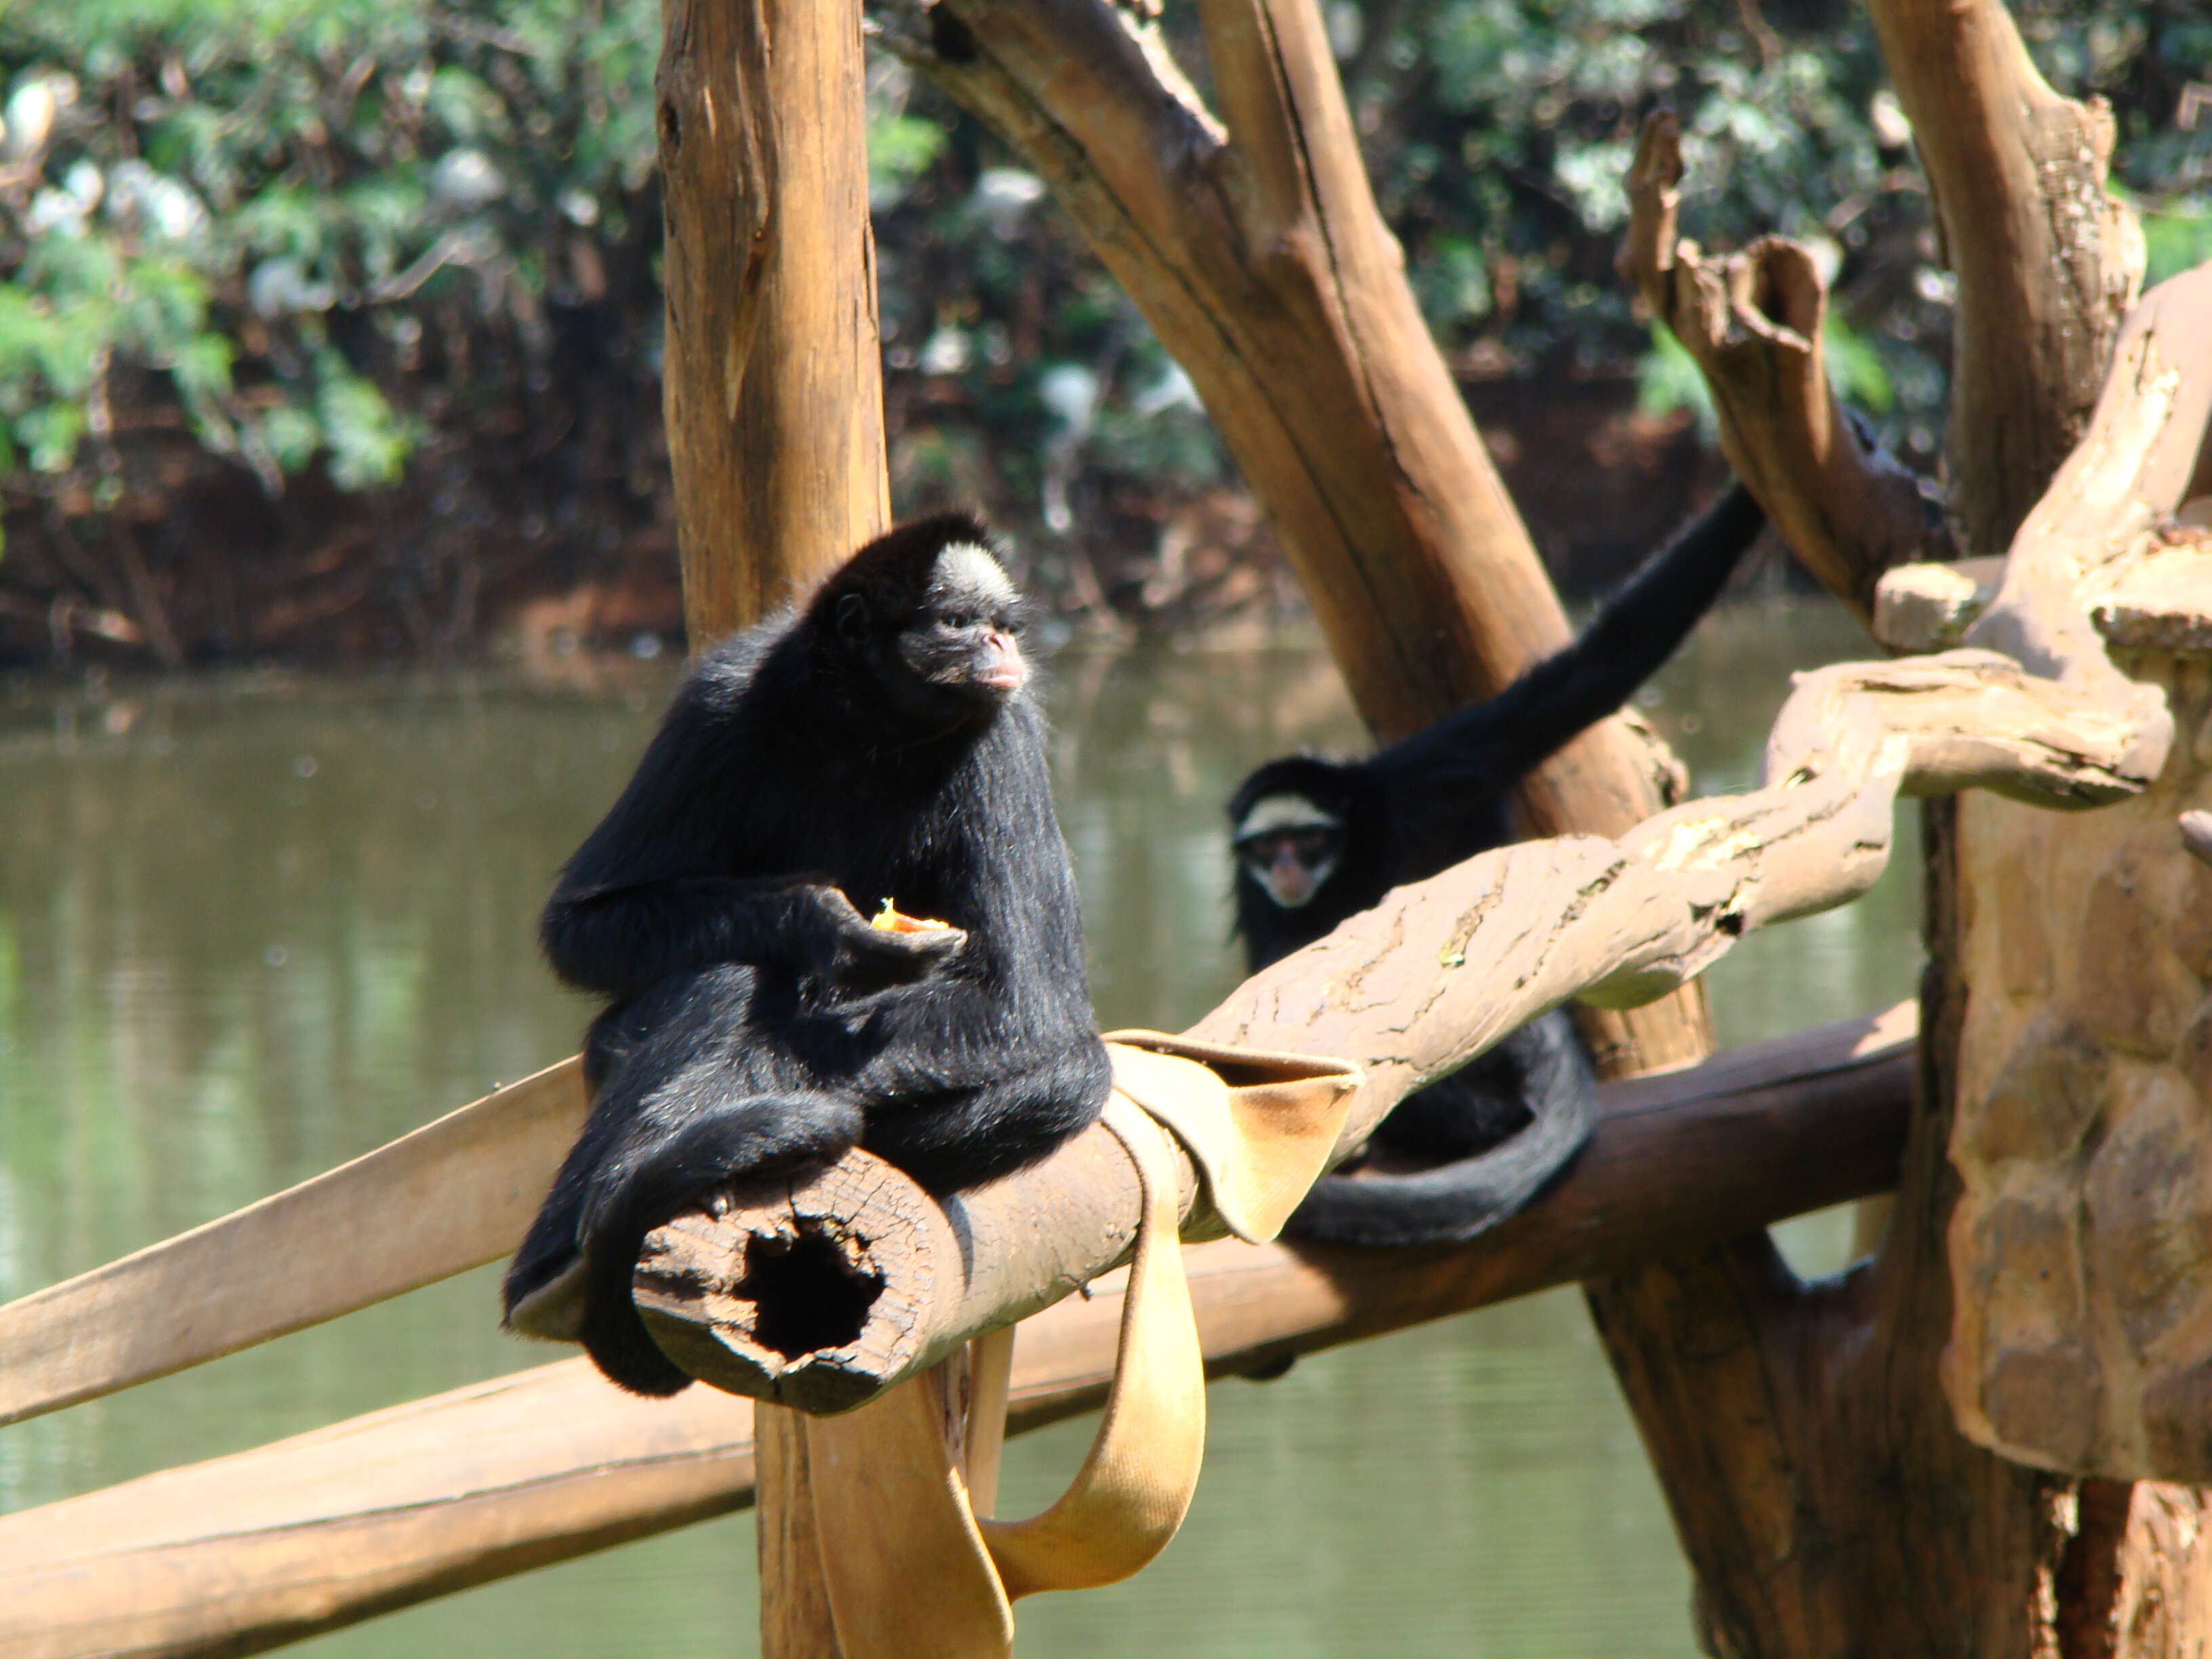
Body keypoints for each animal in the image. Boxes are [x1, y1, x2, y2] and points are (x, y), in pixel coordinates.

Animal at [508, 513, 1115, 1397]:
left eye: (1001, 624)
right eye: (960, 623)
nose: (1002, 645)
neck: (867, 732)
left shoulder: (1001, 729)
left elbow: (1030, 1005)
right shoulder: (719, 698)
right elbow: (581, 926)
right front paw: (821, 926)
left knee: (1075, 1072)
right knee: (724, 971)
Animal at [1229, 480, 1761, 1247]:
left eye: (1307, 842)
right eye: (1268, 849)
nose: (1288, 872)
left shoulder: (1414, 781)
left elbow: (1586, 676)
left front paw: (1750, 500)